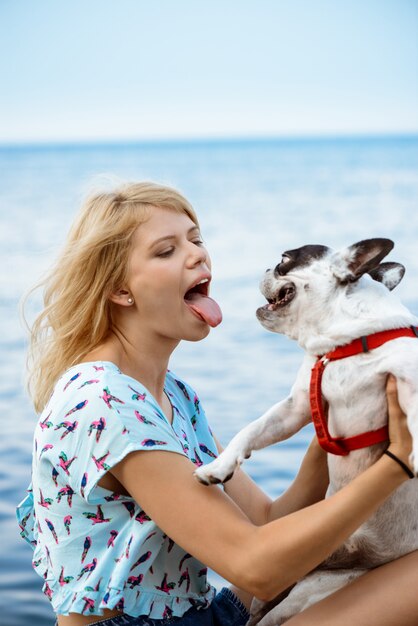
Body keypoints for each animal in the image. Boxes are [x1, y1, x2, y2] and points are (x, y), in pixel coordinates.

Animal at [195, 239, 418, 624]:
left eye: (285, 259)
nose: (266, 268)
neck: (345, 344)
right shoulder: (295, 408)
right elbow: (250, 430)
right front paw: (218, 466)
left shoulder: (408, 377)